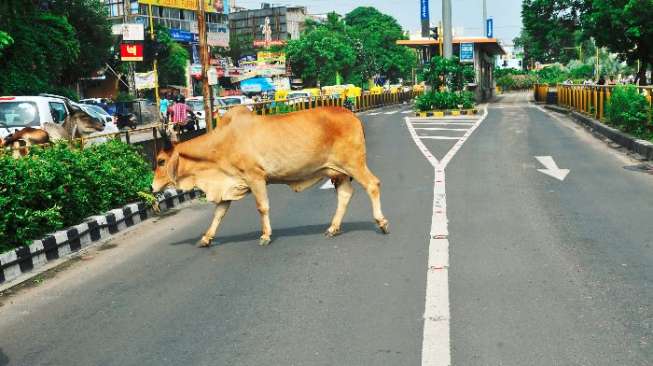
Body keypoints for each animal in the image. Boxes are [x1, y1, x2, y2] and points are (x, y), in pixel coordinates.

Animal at [153, 107, 388, 247]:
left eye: (161, 161)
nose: (153, 187)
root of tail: (351, 114)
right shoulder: (230, 184)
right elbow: (219, 213)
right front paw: (205, 238)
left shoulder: (255, 177)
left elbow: (262, 207)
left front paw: (265, 235)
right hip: (338, 172)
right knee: (345, 194)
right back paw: (333, 228)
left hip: (354, 163)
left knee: (372, 184)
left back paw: (382, 222)